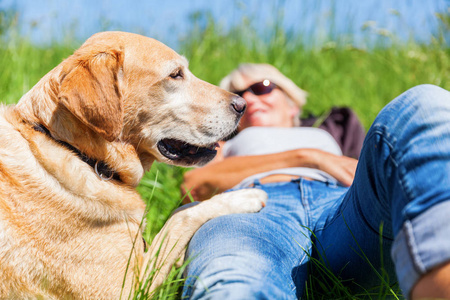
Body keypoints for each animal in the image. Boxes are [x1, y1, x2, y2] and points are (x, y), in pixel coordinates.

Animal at [0, 31, 268, 298]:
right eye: (175, 74)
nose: (242, 105)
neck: (75, 152)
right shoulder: (127, 288)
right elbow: (182, 215)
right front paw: (243, 197)